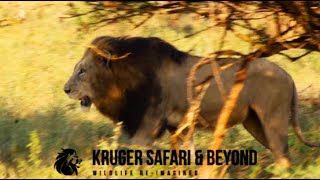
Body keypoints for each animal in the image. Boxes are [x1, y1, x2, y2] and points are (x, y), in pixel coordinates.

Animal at [63, 35, 318, 168]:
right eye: (76, 68)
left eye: (82, 71)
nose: (66, 89)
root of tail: (288, 75)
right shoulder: (180, 126)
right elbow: (188, 156)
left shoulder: (148, 126)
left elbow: (138, 152)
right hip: (254, 123)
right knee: (282, 155)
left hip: (273, 120)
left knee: (283, 156)